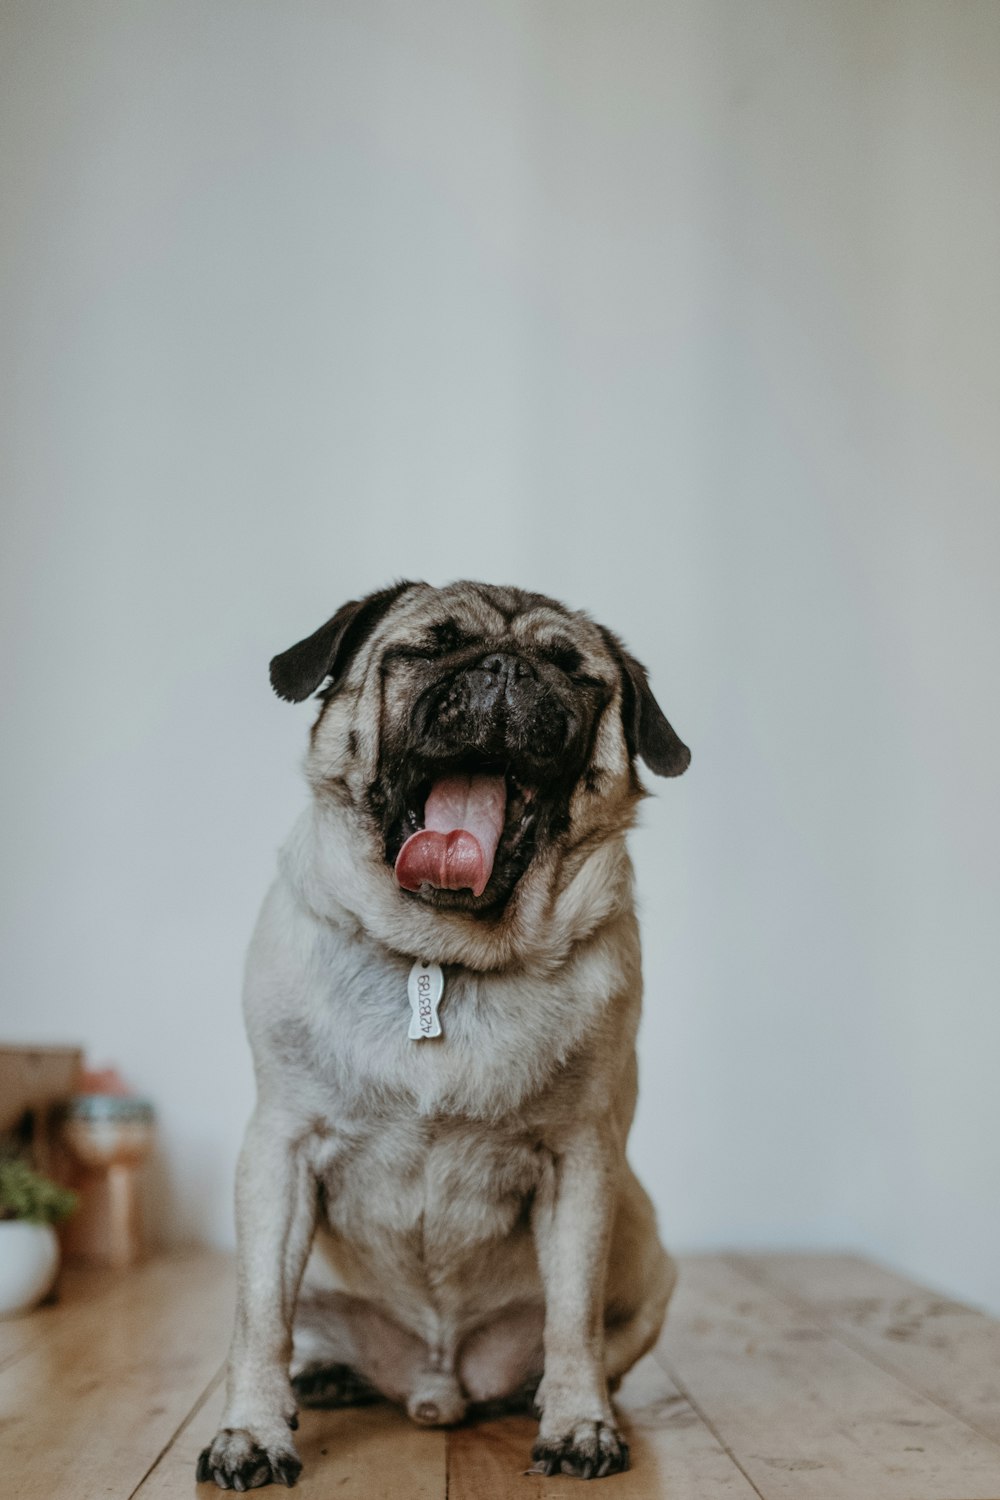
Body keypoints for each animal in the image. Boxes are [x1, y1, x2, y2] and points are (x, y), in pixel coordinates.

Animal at [199, 579, 692, 1482]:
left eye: (572, 671)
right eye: (431, 646)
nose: (505, 667)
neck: (442, 954)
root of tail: (436, 1380)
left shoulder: (581, 1163)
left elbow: (573, 1318)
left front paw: (578, 1423)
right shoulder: (280, 1152)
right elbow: (260, 1319)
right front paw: (251, 1431)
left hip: (644, 1247)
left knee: (593, 1342)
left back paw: (542, 1395)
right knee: (291, 1324)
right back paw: (325, 1376)